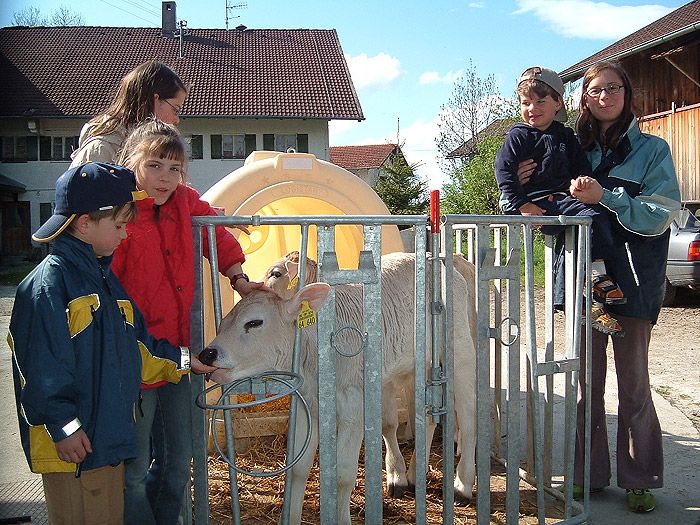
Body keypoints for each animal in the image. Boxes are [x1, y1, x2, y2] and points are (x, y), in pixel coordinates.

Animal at [201, 252, 476, 520]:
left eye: (254, 323)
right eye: (223, 322)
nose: (207, 354)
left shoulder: (352, 405)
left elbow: (343, 474)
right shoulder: (308, 405)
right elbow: (298, 468)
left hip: (460, 350)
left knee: (467, 414)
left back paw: (462, 484)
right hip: (414, 366)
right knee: (424, 416)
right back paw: (409, 475)